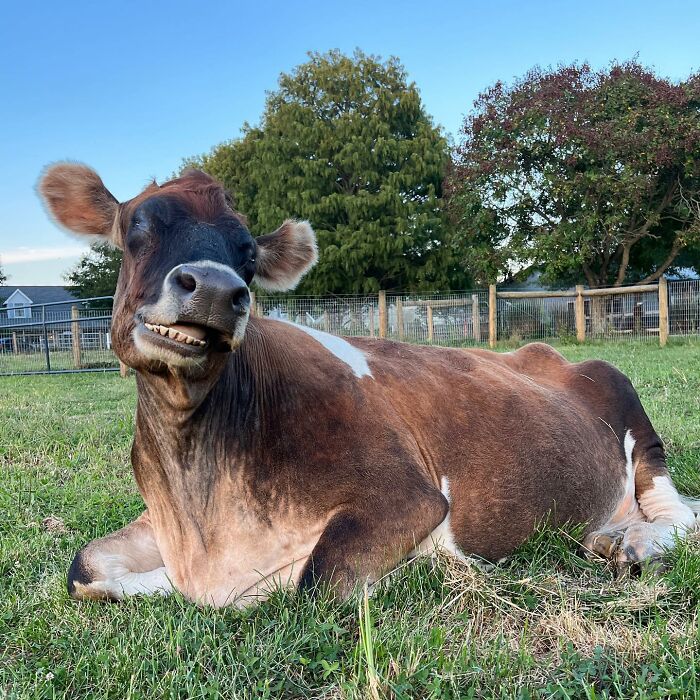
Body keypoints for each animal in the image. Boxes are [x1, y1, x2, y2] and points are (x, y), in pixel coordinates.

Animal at [39, 164, 700, 608]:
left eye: (247, 252)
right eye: (138, 225)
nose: (215, 288)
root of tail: (546, 351)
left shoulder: (405, 497)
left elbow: (303, 581)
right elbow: (85, 569)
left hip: (636, 418)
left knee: (678, 510)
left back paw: (637, 544)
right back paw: (612, 537)